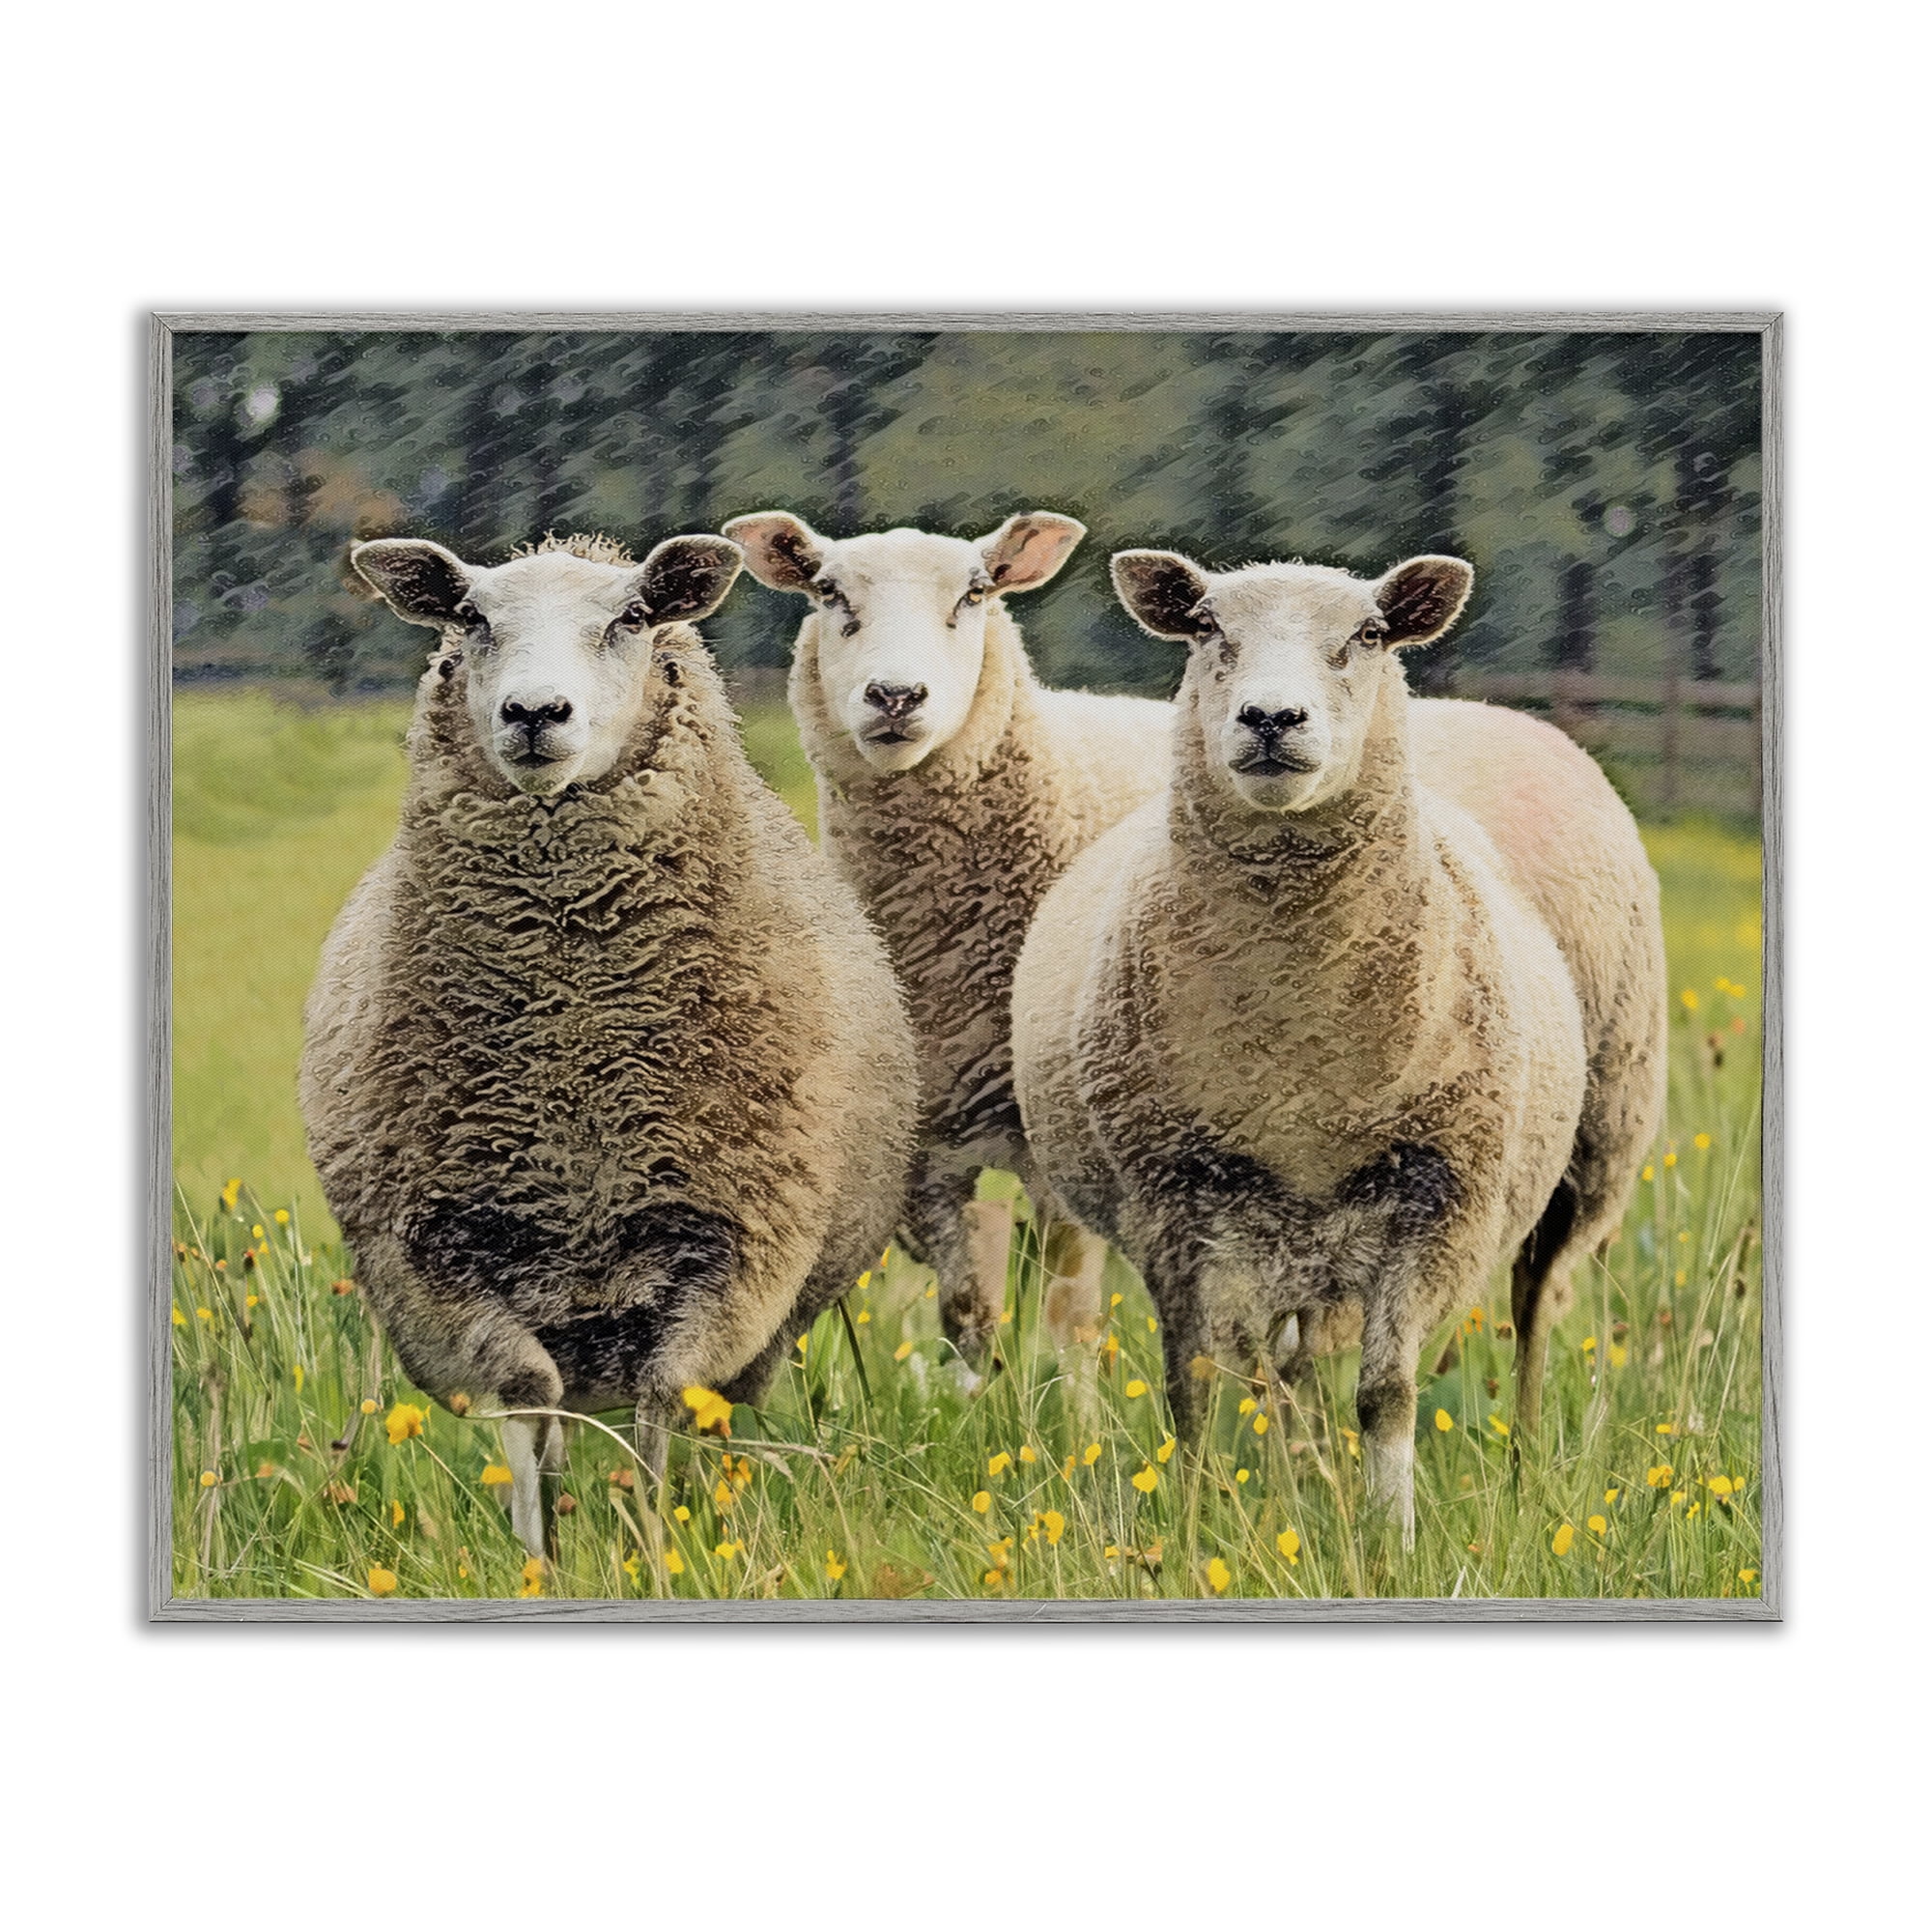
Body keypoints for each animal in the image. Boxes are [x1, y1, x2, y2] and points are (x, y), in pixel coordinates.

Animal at [300, 531, 917, 1561]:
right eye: (469, 617)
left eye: (630, 618)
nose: (535, 713)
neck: (574, 1050)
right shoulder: (438, 1256)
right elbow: (527, 1399)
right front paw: (539, 1559)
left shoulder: (733, 1246)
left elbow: (666, 1401)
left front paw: (657, 1548)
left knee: (700, 1413)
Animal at [721, 509, 1174, 1372]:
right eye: (828, 592)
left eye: (974, 593)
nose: (896, 695)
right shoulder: (924, 1154)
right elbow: (967, 1317)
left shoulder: (1058, 1141)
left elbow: (1067, 1318)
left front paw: (1067, 1410)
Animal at [1012, 548, 1666, 1539]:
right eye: (1206, 627)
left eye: (1367, 634)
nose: (1272, 718)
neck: (1302, 1049)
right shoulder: (1172, 1201)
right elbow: (1196, 1386)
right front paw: (1199, 1522)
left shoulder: (1441, 1195)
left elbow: (1387, 1394)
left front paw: (1391, 1536)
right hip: (1294, 1237)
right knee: (1288, 1370)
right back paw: (1305, 1478)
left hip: (1595, 1149)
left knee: (1535, 1312)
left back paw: (1523, 1468)